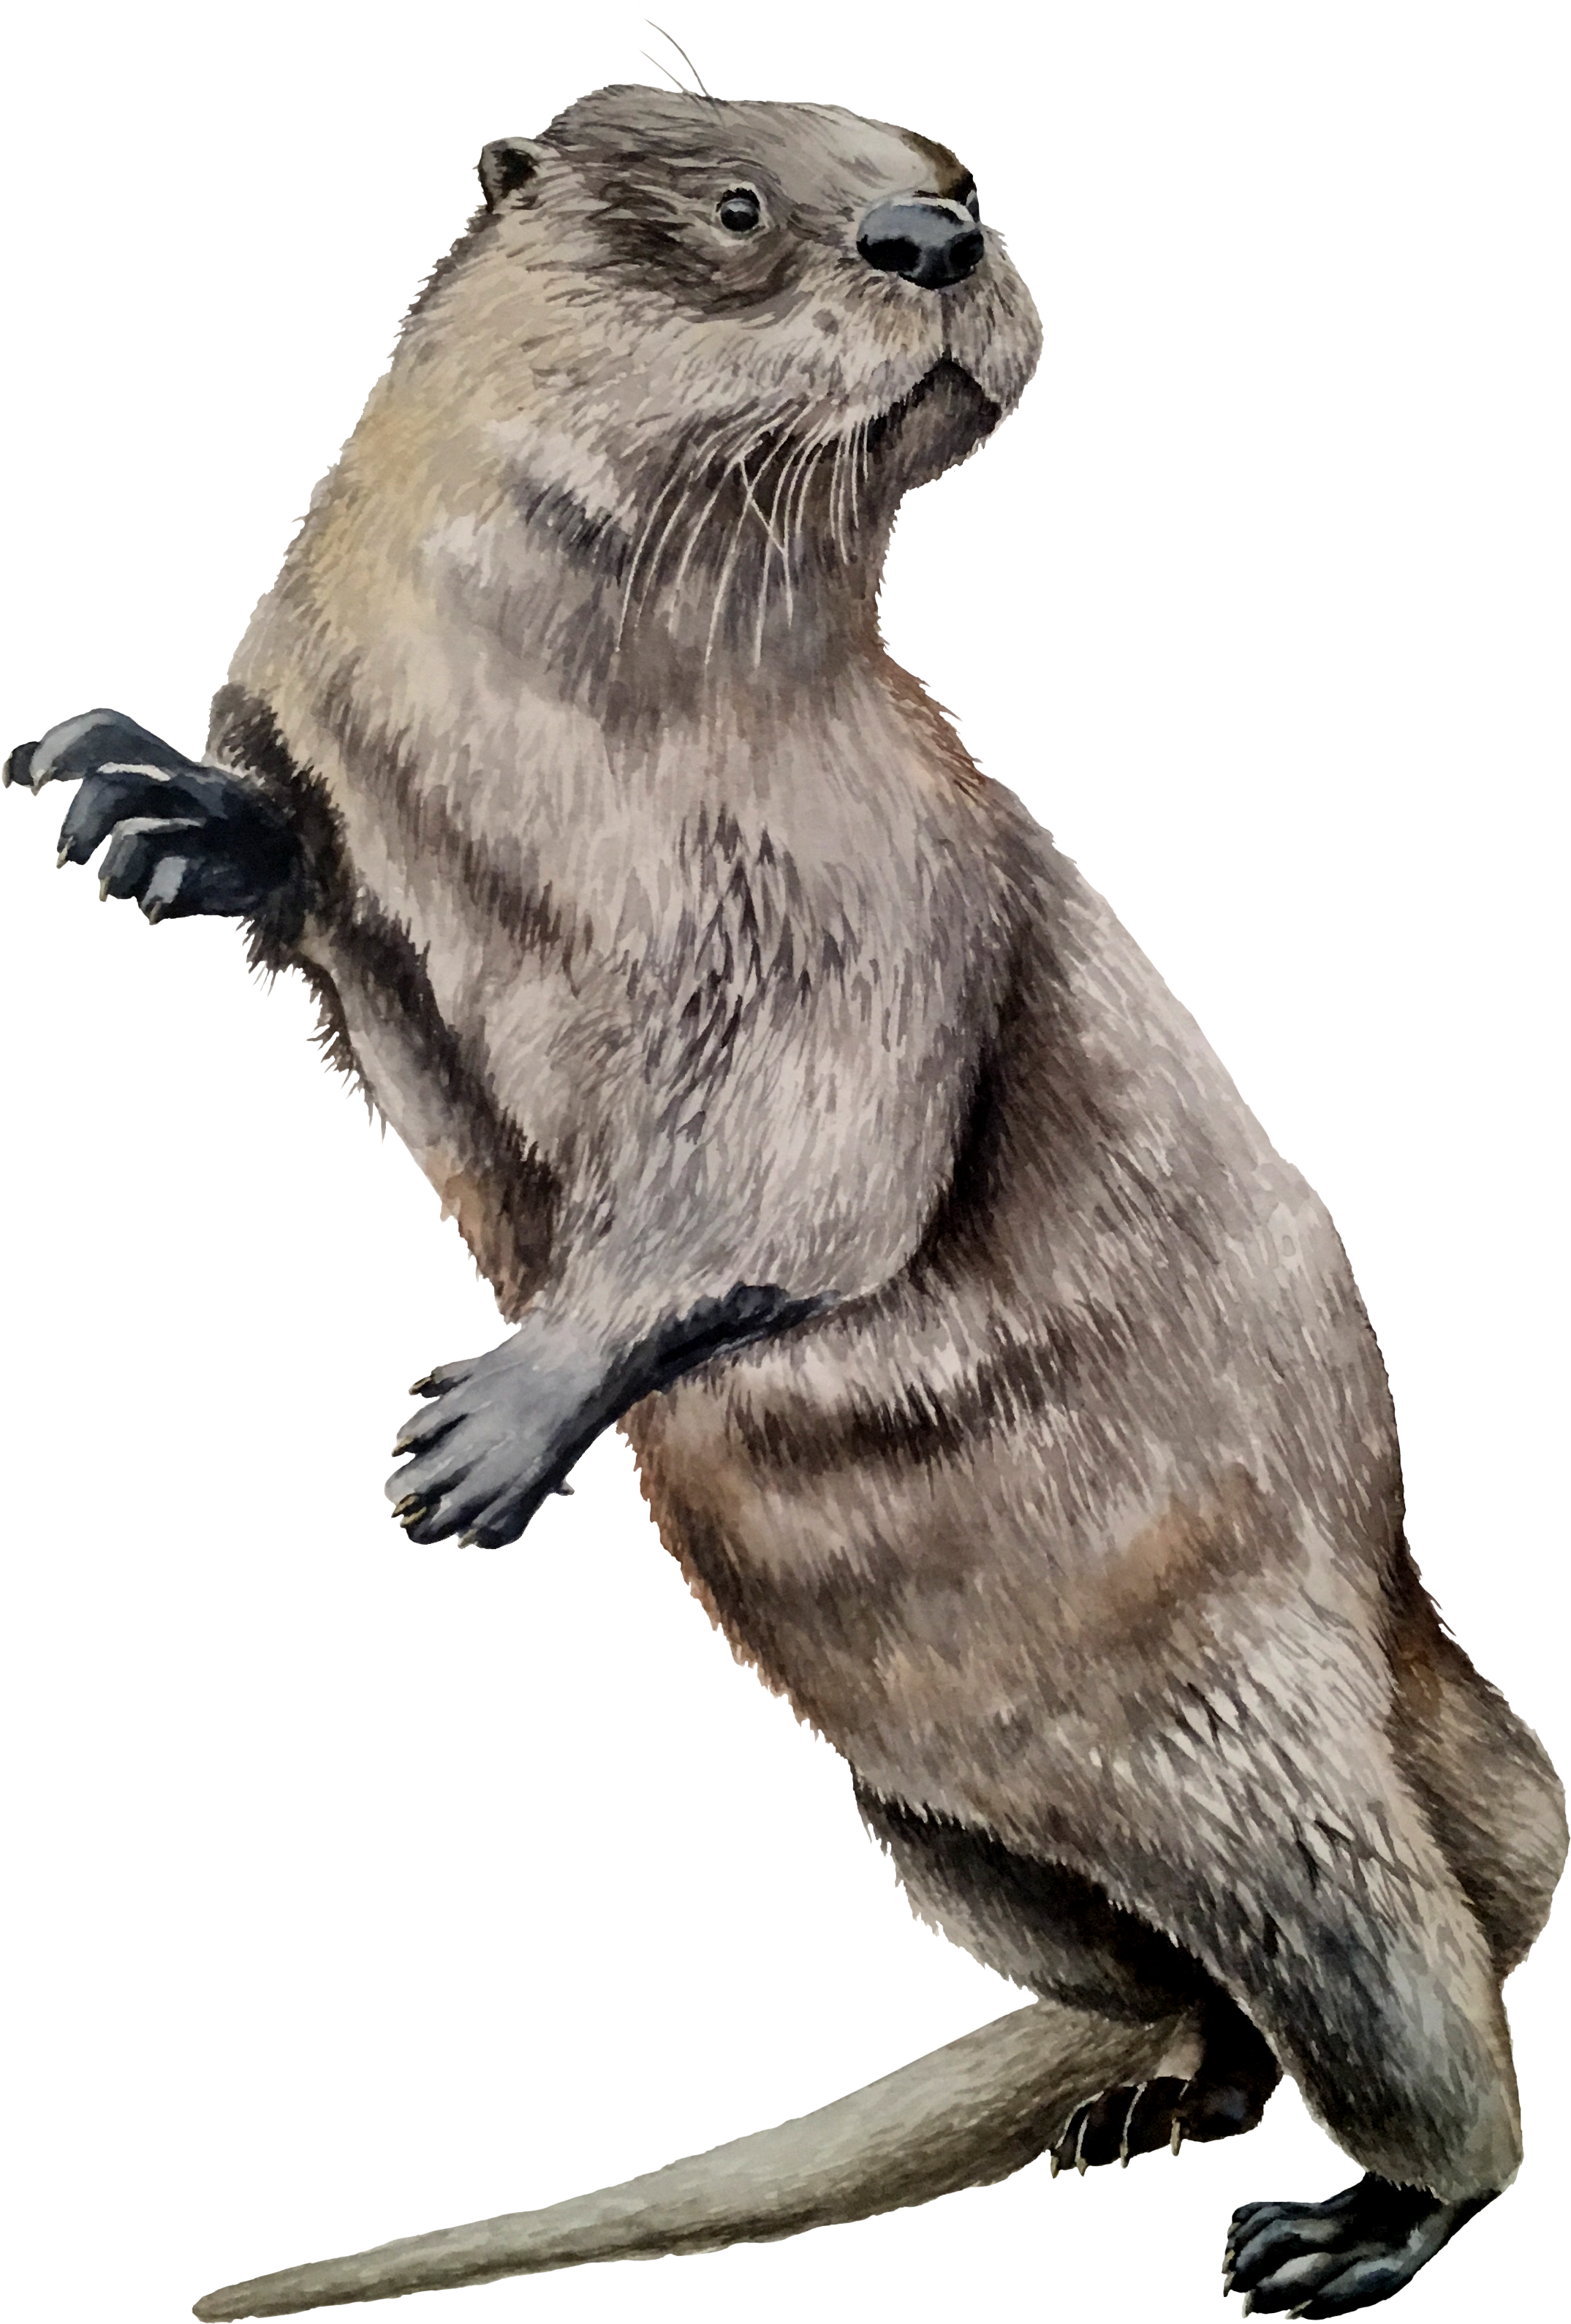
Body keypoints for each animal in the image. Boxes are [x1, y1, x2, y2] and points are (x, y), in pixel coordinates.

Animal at [6, 78, 1563, 2323]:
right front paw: (156, 808)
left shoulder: (876, 887)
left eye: (954, 173)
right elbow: (340, 930)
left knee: (1408, 1978)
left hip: (1276, 1747)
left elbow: (806, 1168)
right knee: (1167, 1967)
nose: (934, 239)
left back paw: (1357, 2221)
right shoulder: (366, 763)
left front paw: (492, 1429)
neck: (549, 750)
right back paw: (1161, 2092)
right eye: (742, 205)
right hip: (934, 1840)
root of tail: (1410, 1636)